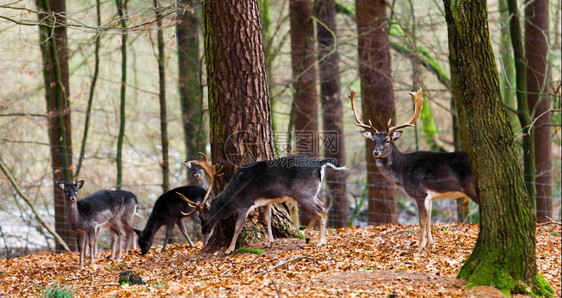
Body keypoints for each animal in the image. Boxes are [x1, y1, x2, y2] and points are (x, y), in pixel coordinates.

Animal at [177, 154, 344, 254]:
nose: (204, 231)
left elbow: (238, 227)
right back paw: (308, 235)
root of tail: (319, 164)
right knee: (320, 208)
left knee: (321, 210)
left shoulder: (243, 205)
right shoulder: (266, 202)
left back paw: (321, 242)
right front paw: (270, 242)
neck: (233, 197)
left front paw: (229, 249)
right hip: (309, 193)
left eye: (203, 216)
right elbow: (268, 219)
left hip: (304, 193)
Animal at [350, 89, 476, 249]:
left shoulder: (420, 193)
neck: (403, 173)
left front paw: (420, 246)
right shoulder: (430, 196)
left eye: (387, 140)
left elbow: (421, 221)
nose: (376, 152)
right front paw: (431, 242)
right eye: (373, 140)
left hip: (472, 187)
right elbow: (429, 220)